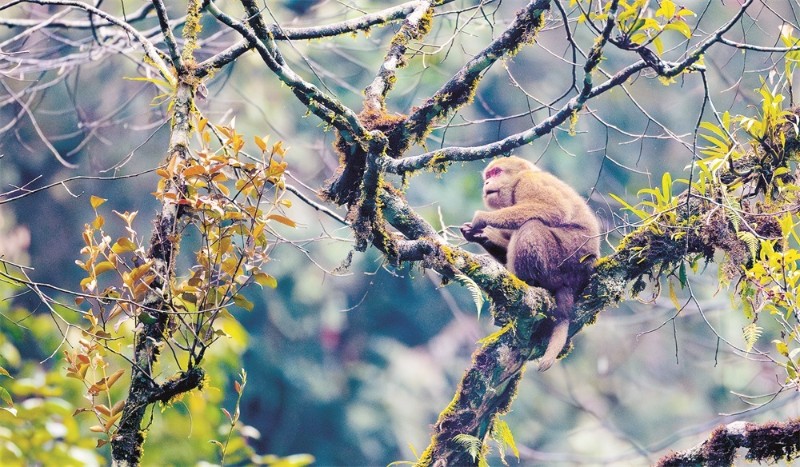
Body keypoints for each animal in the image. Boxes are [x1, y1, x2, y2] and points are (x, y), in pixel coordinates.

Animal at [460, 157, 596, 372]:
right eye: (488, 175)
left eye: (496, 172)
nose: (487, 183)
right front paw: (481, 235)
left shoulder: (529, 182)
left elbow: (553, 210)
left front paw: (481, 219)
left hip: (563, 261)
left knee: (531, 225)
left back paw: (526, 283)